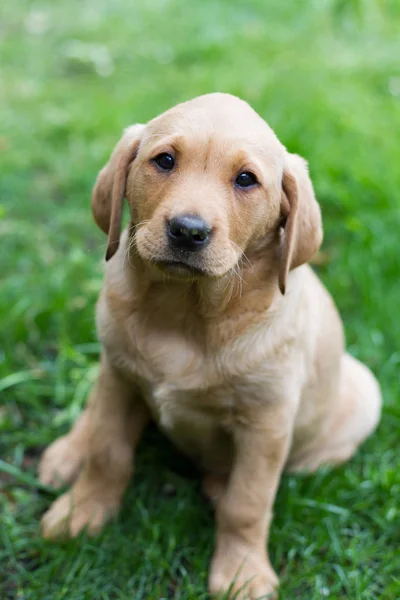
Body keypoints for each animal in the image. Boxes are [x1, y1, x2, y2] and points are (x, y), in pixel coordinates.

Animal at [39, 94, 382, 600]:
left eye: (246, 179)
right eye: (164, 160)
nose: (188, 230)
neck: (185, 312)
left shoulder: (266, 424)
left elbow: (248, 503)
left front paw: (242, 572)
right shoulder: (120, 378)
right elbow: (108, 451)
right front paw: (81, 512)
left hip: (364, 392)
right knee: (94, 411)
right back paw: (68, 452)